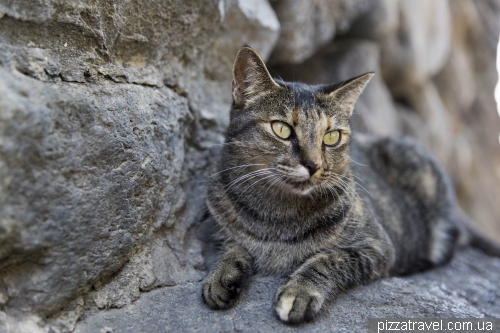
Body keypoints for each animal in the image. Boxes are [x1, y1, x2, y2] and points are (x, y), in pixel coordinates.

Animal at [200, 46, 500, 322]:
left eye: (331, 136)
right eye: (282, 129)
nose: (314, 164)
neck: (275, 216)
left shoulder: (377, 247)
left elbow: (328, 259)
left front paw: (299, 293)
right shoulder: (221, 227)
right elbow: (233, 247)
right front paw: (222, 276)